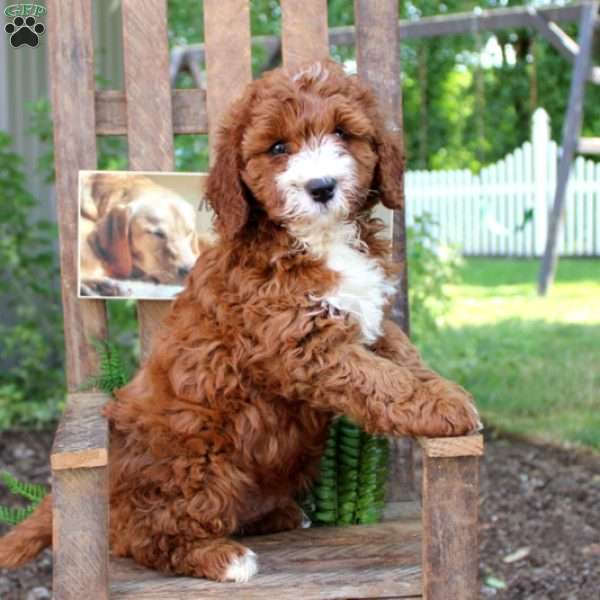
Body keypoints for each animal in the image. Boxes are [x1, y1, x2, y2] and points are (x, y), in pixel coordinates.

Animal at [0, 59, 478, 580]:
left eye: (342, 133)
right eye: (278, 147)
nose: (321, 187)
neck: (318, 239)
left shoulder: (368, 321)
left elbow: (403, 359)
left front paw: (448, 393)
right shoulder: (300, 342)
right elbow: (381, 380)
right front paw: (446, 408)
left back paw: (279, 514)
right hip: (201, 459)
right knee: (144, 534)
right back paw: (221, 556)